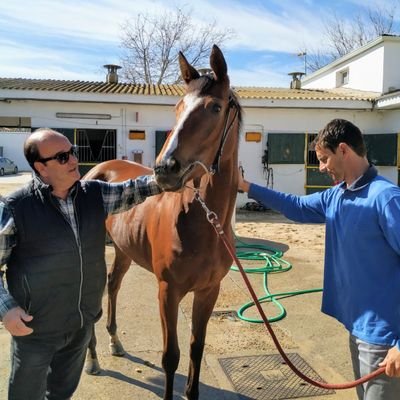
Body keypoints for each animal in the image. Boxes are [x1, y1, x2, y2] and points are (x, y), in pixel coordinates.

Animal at [84, 45, 241, 398]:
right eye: (178, 107)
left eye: (215, 107)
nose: (164, 169)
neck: (203, 225)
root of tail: (94, 172)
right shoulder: (167, 292)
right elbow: (171, 356)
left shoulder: (208, 291)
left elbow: (196, 348)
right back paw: (93, 360)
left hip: (124, 250)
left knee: (113, 285)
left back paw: (115, 342)